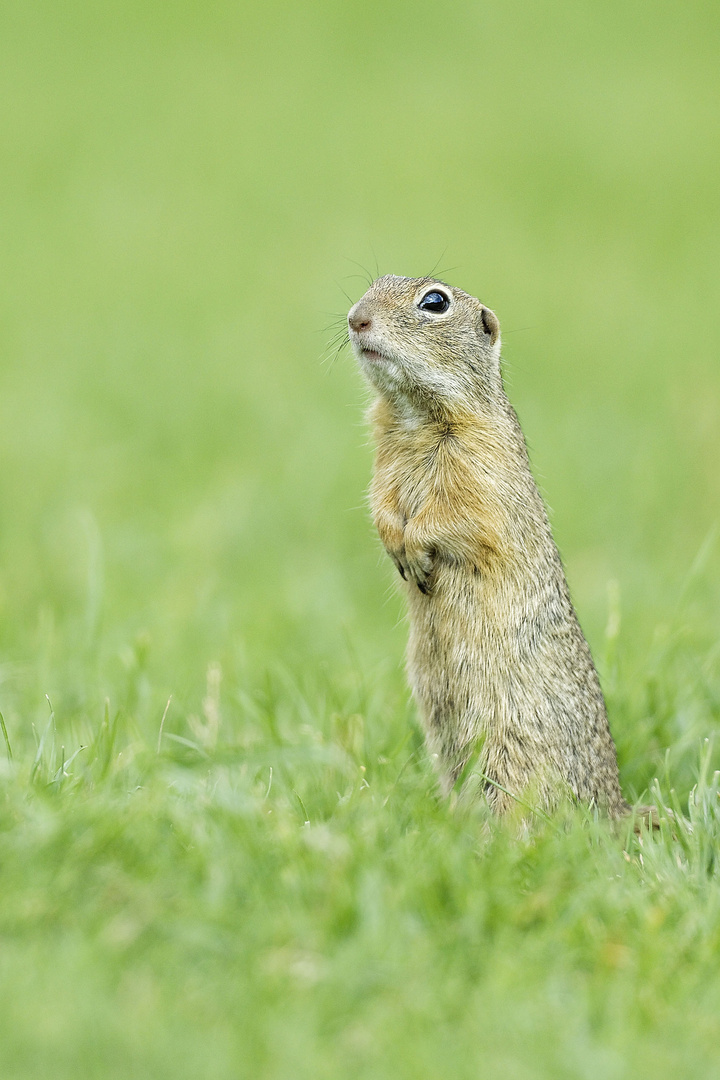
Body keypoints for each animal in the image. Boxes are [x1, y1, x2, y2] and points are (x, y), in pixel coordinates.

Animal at [349, 274, 630, 812]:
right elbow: (381, 504)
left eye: (434, 301)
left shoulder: (481, 471)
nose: (356, 318)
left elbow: (457, 518)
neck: (413, 413)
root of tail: (616, 808)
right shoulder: (382, 463)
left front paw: (415, 549)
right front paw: (397, 545)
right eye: (372, 284)